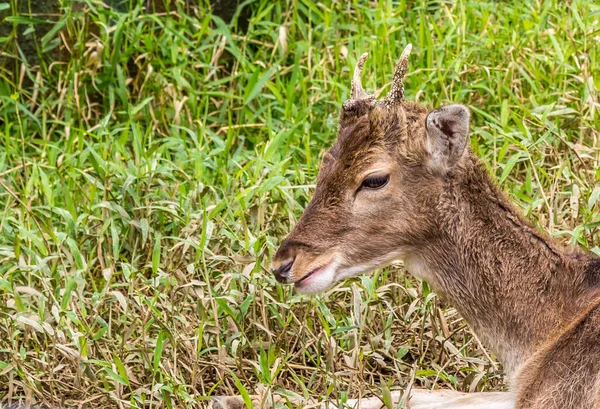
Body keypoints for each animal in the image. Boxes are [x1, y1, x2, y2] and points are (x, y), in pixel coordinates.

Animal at [213, 45, 600, 408]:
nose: (284, 264)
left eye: (374, 179)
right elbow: (424, 392)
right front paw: (237, 397)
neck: (538, 341)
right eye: (325, 161)